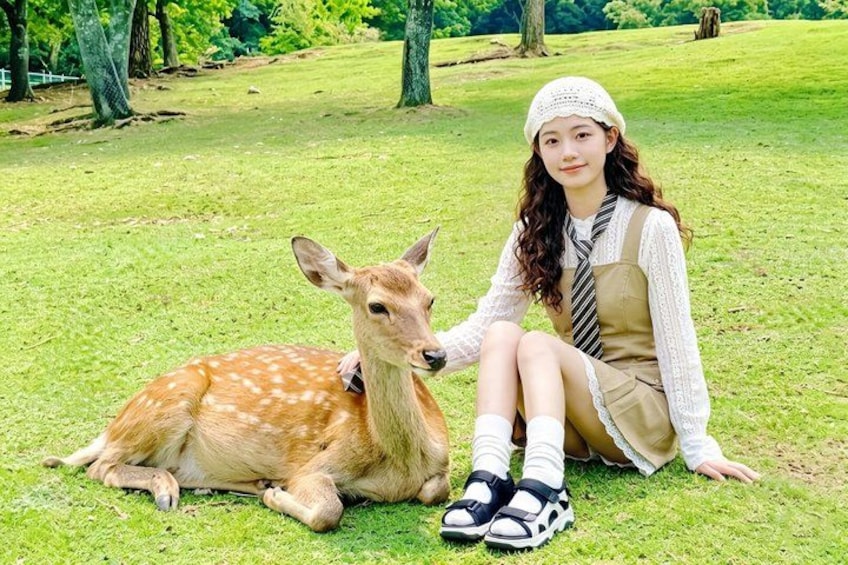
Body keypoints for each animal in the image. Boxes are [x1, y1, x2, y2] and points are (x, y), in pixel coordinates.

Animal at [43, 230, 450, 532]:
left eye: (429, 299)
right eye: (377, 305)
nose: (435, 355)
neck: (398, 463)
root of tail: (111, 427)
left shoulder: (441, 463)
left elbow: (437, 489)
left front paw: (271, 491)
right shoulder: (314, 466)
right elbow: (328, 512)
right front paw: (277, 496)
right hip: (164, 404)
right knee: (99, 466)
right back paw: (167, 491)